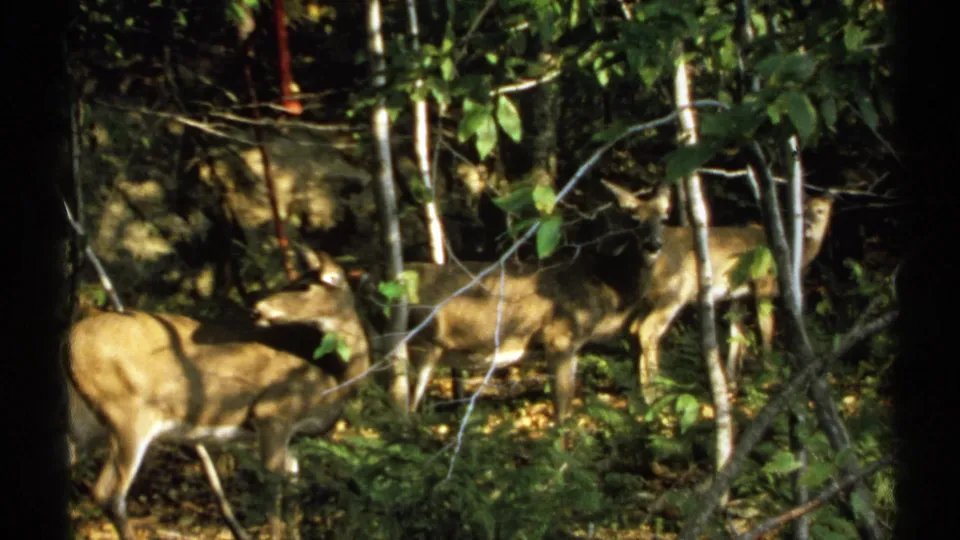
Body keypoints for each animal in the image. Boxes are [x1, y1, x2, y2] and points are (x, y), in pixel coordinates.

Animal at [64, 248, 371, 540]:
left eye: (304, 285)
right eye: (296, 281)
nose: (257, 308)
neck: (334, 377)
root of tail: (69, 341)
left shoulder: (293, 437)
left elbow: (293, 492)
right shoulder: (272, 413)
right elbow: (272, 492)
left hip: (83, 424)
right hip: (128, 412)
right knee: (108, 493)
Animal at [266, 181, 673, 422]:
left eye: (665, 216)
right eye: (633, 217)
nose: (654, 245)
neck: (604, 291)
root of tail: (367, 279)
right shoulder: (561, 337)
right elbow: (563, 411)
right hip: (423, 340)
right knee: (408, 406)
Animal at [621, 191, 835, 403]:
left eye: (820, 210)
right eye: (802, 210)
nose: (808, 226)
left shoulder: (738, 295)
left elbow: (736, 334)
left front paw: (731, 385)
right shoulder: (763, 283)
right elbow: (766, 328)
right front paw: (769, 377)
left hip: (650, 296)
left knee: (635, 328)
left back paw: (643, 392)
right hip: (676, 289)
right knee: (648, 329)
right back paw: (654, 394)